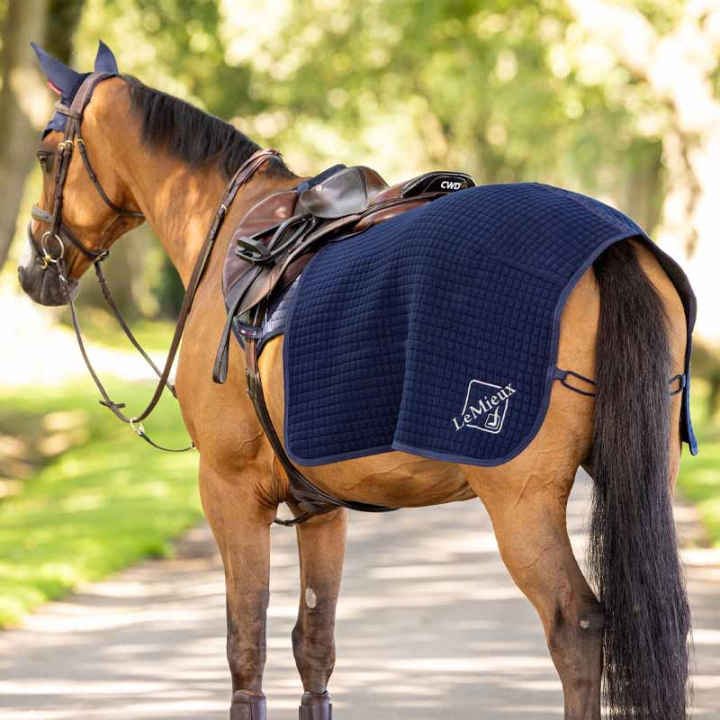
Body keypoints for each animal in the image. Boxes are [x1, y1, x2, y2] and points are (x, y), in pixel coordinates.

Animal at [18, 43, 693, 720]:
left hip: (521, 499)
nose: (31, 271)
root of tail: (611, 247)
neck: (232, 229)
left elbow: (246, 646)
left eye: (46, 154)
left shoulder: (230, 492)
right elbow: (314, 649)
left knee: (575, 627)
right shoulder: (320, 508)